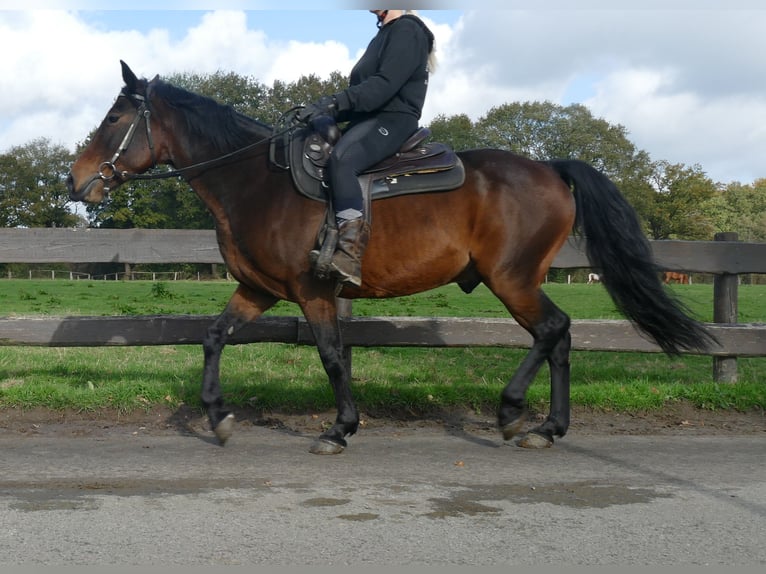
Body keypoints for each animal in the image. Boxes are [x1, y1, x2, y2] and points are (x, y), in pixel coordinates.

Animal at [66, 63, 720, 456]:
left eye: (116, 118)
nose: (76, 181)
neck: (256, 183)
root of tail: (551, 167)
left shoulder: (313, 293)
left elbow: (332, 357)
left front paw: (340, 428)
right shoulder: (259, 290)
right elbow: (213, 337)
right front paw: (217, 416)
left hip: (512, 279)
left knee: (552, 329)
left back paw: (515, 413)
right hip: (518, 280)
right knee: (559, 337)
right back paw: (547, 427)